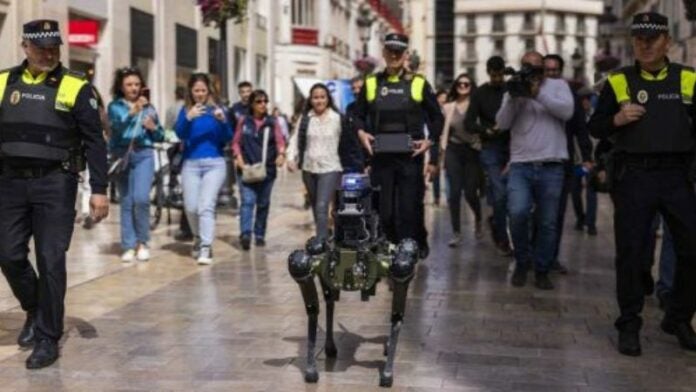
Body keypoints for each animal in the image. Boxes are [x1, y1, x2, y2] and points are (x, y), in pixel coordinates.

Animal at [286, 173, 416, 388]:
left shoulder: (397, 266)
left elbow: (397, 312)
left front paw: (387, 372)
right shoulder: (318, 263)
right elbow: (312, 308)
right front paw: (311, 369)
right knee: (329, 300)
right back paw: (330, 347)